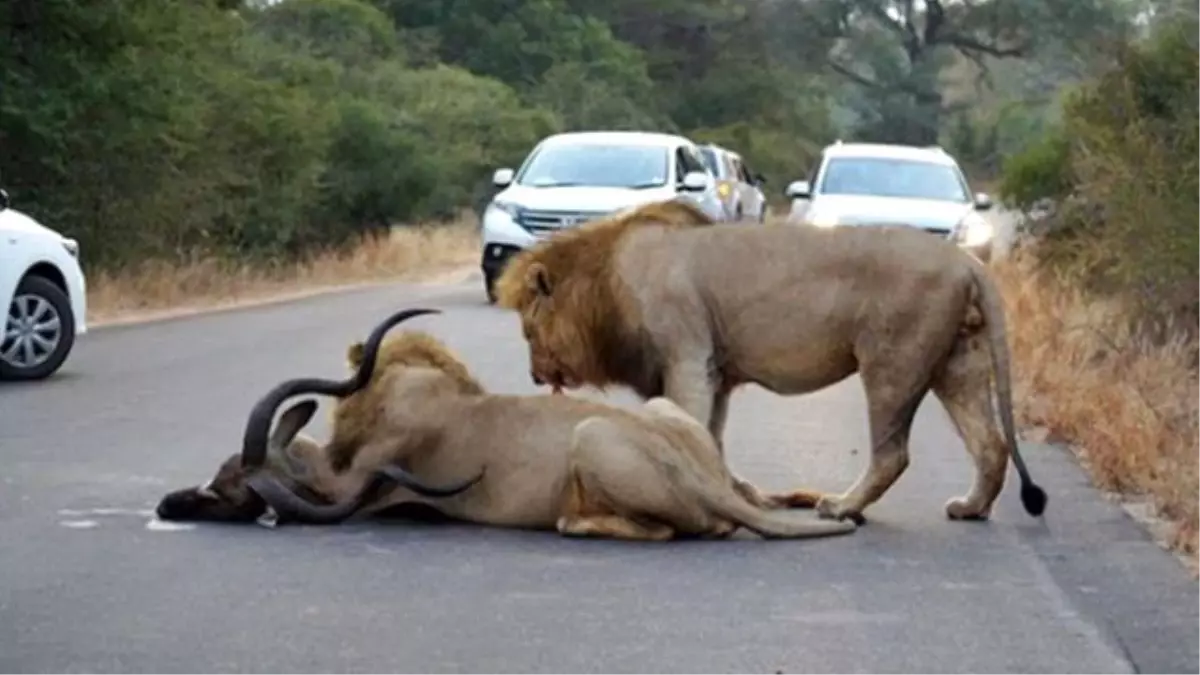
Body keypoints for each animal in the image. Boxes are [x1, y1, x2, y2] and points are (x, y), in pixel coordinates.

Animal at [492, 196, 1046, 523]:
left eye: (527, 330)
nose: (535, 375)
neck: (604, 284)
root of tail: (966, 261)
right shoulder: (716, 372)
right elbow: (709, 437)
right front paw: (737, 493)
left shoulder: (688, 356)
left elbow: (689, 424)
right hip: (958, 362)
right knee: (990, 443)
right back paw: (970, 508)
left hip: (892, 361)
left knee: (893, 453)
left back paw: (841, 506)